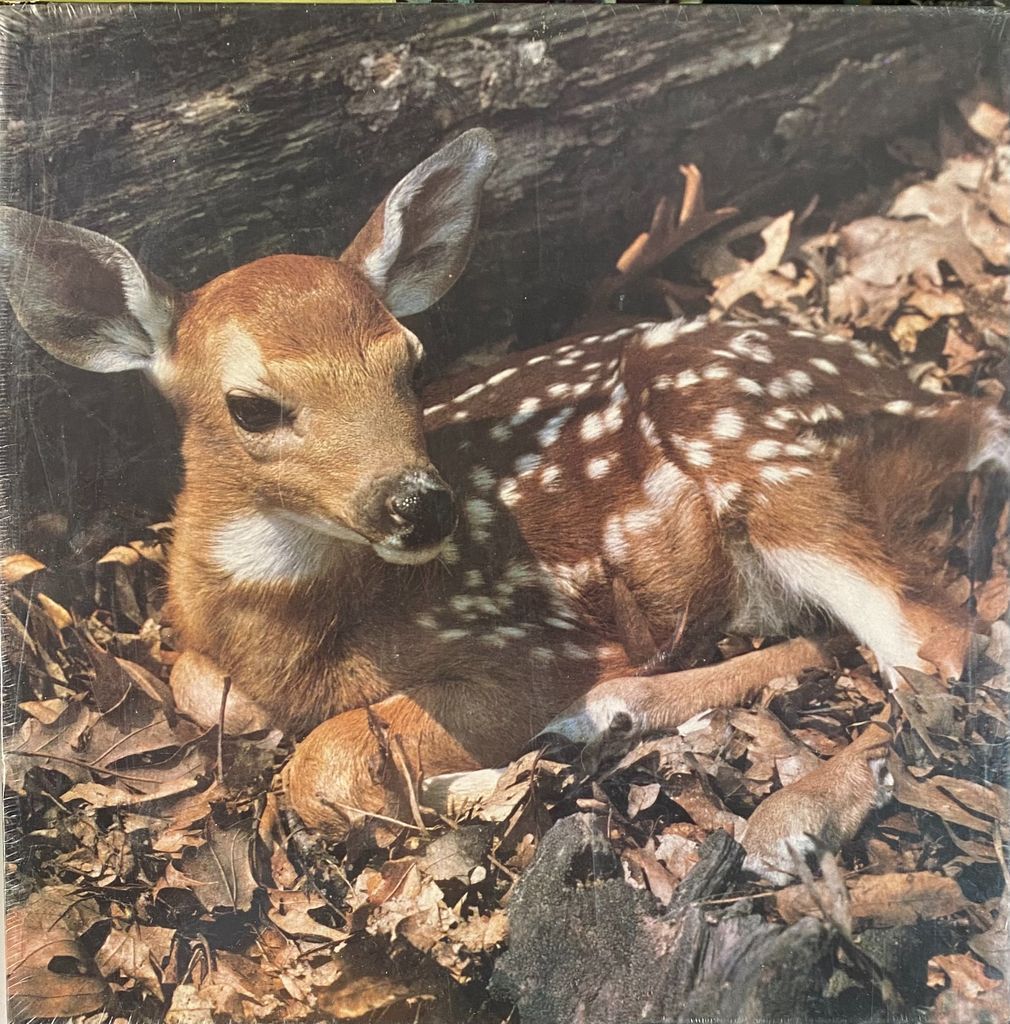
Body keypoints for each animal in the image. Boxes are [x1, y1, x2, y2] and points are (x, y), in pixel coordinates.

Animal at [1, 129, 1005, 881]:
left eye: (409, 361)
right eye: (251, 406)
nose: (420, 505)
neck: (300, 632)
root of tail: (938, 402)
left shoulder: (529, 639)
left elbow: (323, 764)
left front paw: (464, 787)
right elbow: (201, 685)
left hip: (760, 452)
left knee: (933, 649)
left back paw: (753, 804)